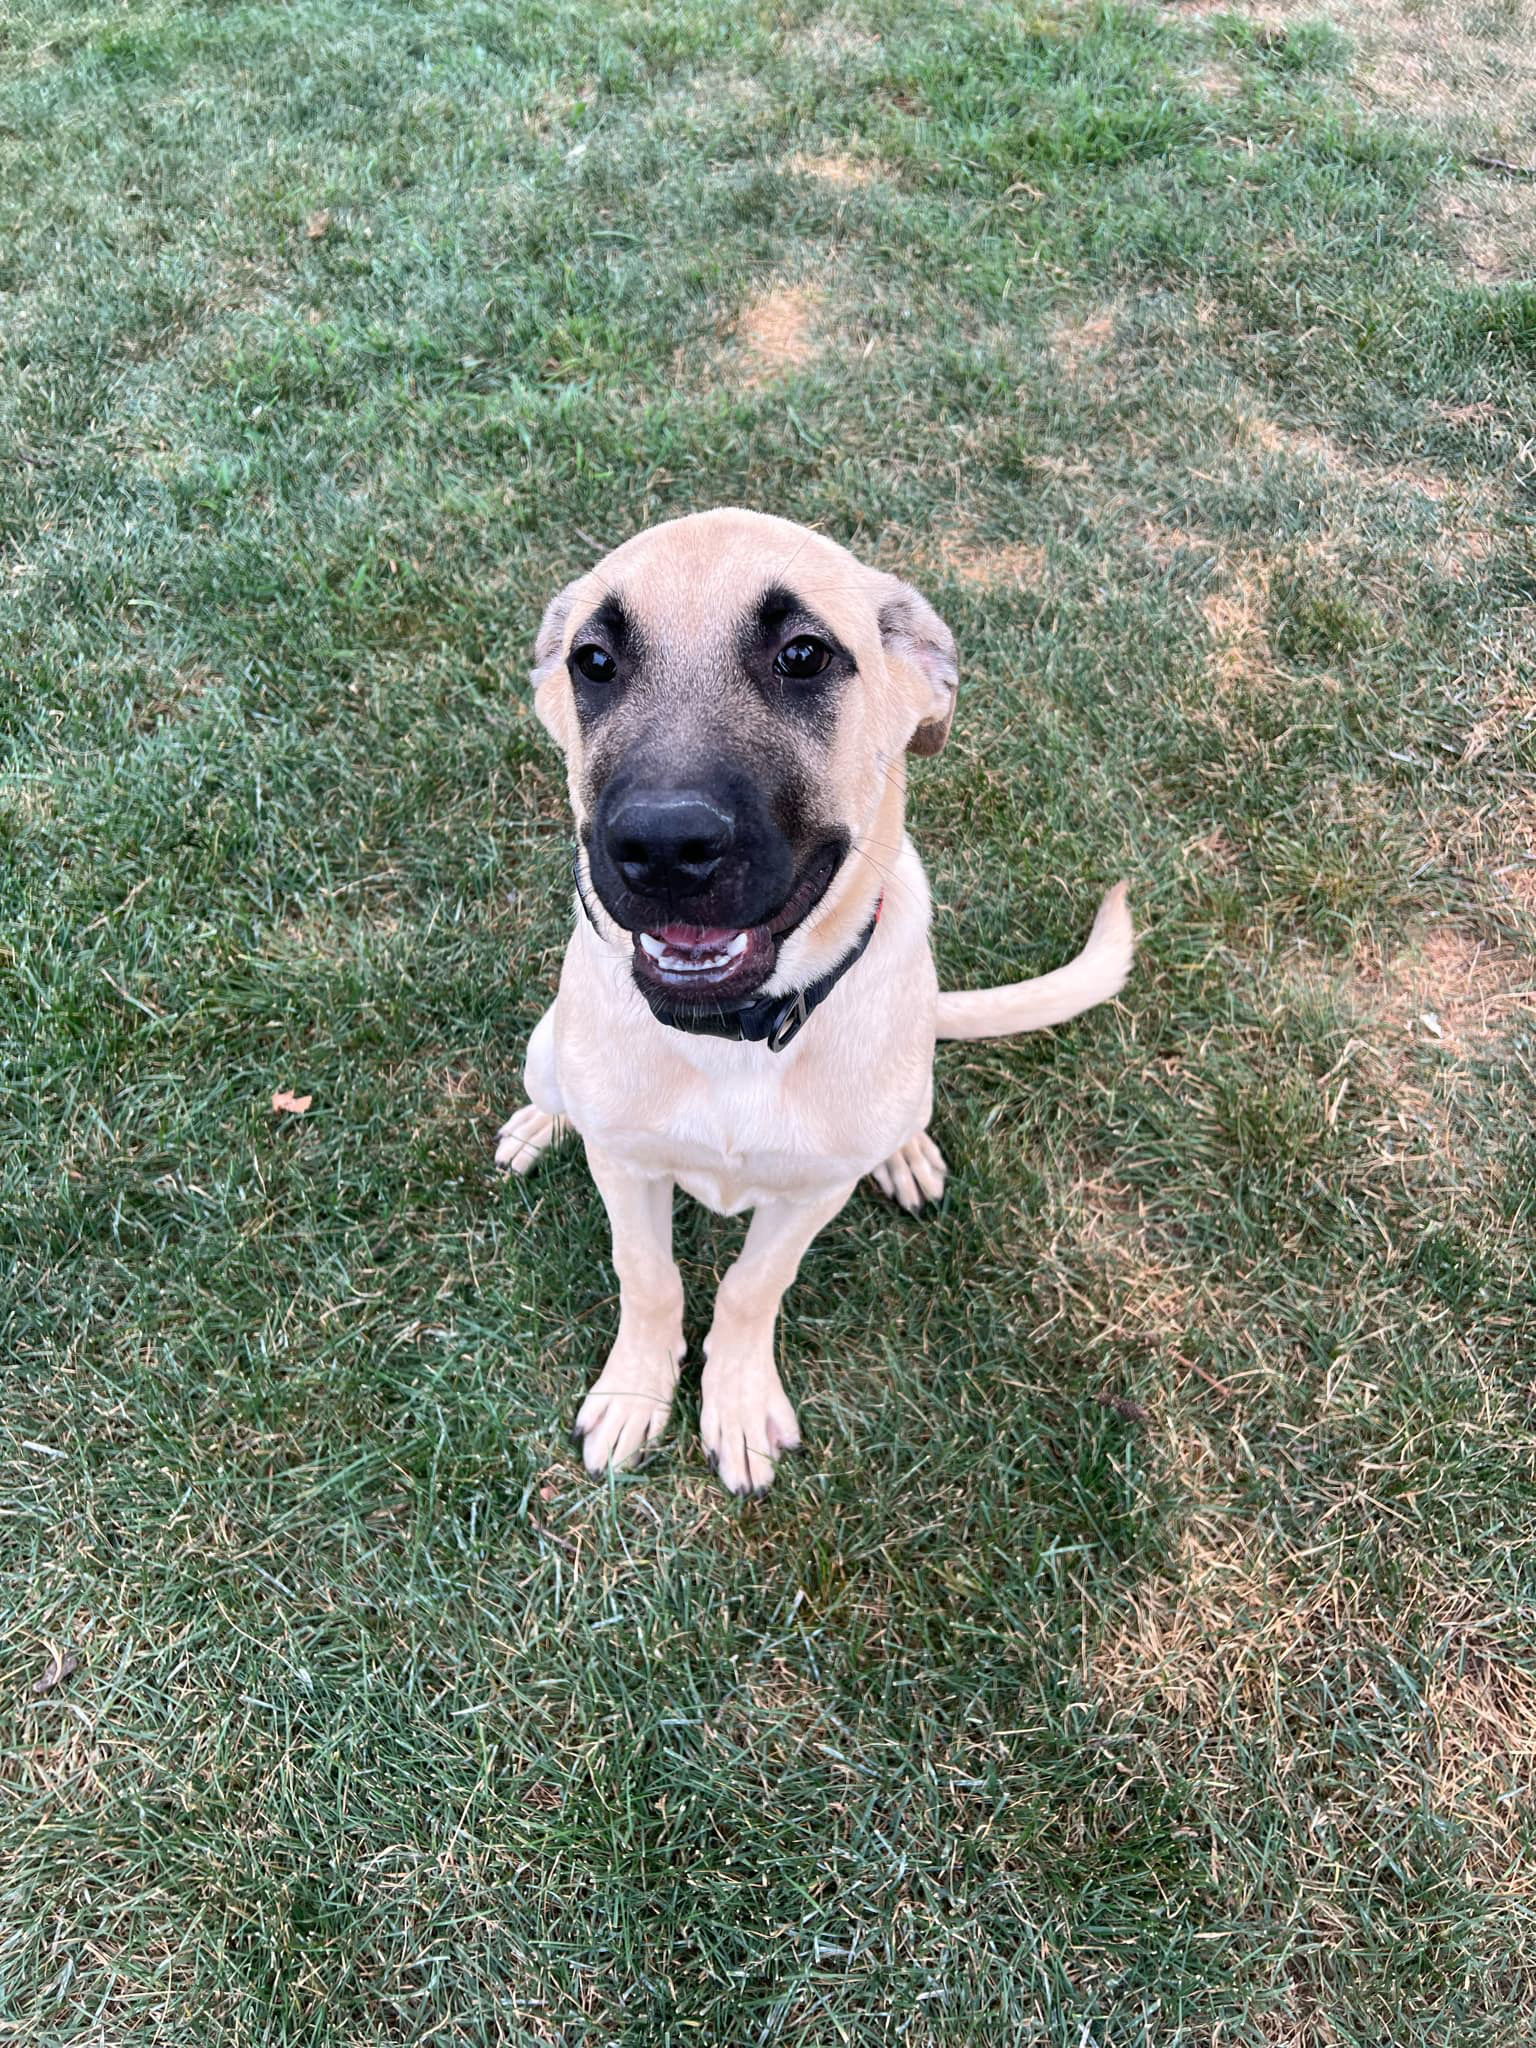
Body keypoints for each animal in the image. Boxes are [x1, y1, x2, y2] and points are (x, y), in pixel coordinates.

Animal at [499, 507, 1138, 1507]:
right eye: (592, 661)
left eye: (803, 655)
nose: (662, 846)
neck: (735, 1039)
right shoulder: (627, 1167)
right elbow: (648, 1275)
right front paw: (637, 1392)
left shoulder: (811, 1194)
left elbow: (751, 1287)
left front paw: (735, 1402)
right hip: (546, 1053)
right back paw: (539, 1122)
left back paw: (907, 1155)